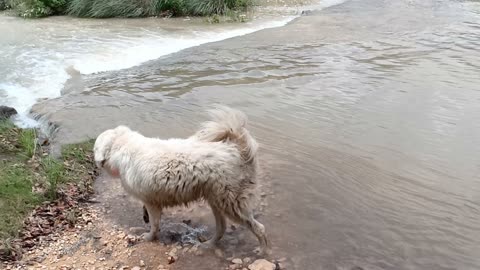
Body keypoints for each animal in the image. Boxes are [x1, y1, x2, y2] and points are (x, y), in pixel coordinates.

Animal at [92, 107, 268, 253]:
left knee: (259, 228)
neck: (122, 146)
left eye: (94, 148)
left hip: (231, 203)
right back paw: (208, 245)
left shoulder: (151, 202)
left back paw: (262, 251)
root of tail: (236, 147)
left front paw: (149, 238)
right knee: (222, 228)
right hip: (217, 200)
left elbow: (154, 225)